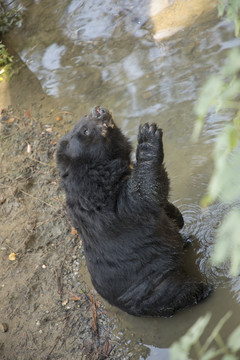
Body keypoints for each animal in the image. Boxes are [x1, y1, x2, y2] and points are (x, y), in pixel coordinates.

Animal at [56, 105, 212, 316]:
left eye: (84, 115)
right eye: (85, 131)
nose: (98, 109)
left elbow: (159, 203)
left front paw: (178, 217)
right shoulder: (106, 202)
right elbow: (142, 193)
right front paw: (148, 135)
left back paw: (185, 240)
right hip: (154, 282)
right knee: (177, 292)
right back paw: (203, 289)